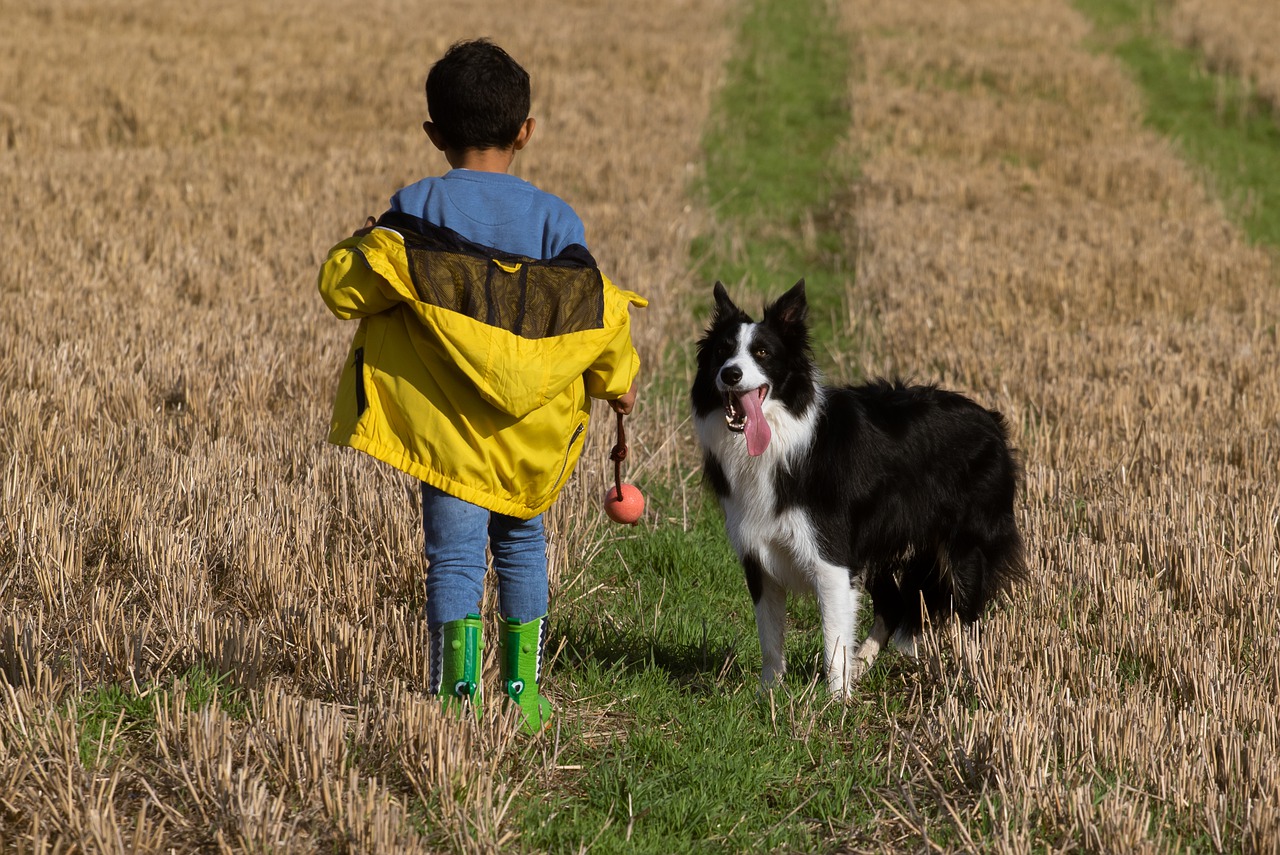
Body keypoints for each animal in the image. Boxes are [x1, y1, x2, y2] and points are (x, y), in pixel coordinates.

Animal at [696, 284, 1024, 696]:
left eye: (763, 353)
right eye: (722, 351)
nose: (731, 374)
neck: (783, 438)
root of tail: (992, 422)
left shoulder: (831, 559)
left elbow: (832, 640)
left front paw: (835, 702)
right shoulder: (758, 556)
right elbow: (770, 640)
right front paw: (768, 695)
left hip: (964, 547)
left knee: (968, 617)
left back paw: (975, 683)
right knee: (894, 606)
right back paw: (864, 664)